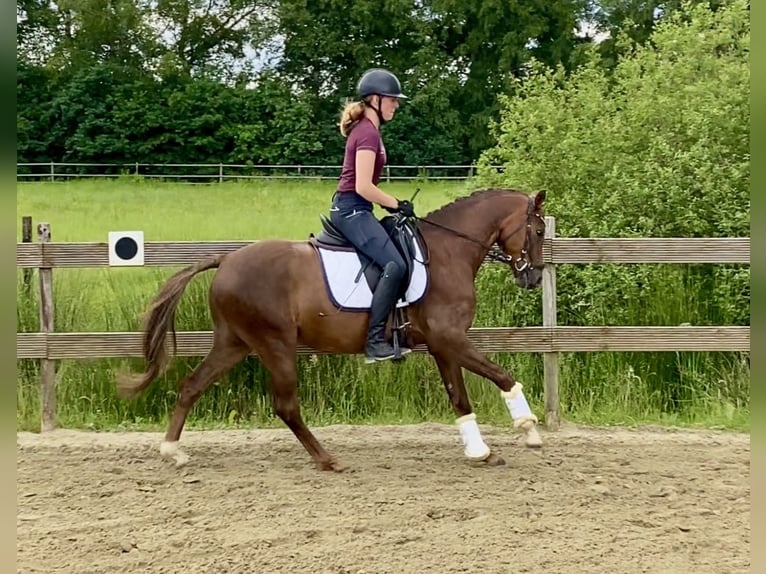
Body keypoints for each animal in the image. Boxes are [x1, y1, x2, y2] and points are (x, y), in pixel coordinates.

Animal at [117, 189, 548, 472]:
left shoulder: (443, 344)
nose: (533, 277)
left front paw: (480, 452)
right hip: (275, 343)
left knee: (192, 385)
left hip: (234, 343)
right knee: (286, 406)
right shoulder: (450, 338)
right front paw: (529, 430)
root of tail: (225, 260)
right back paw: (328, 460)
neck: (447, 253)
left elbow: (459, 398)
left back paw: (172, 450)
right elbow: (501, 375)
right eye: (540, 230)